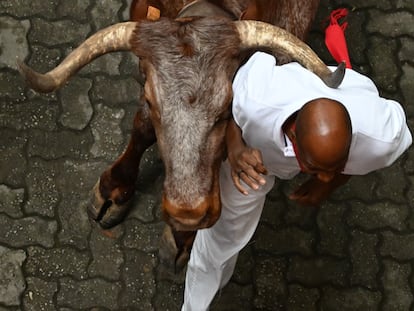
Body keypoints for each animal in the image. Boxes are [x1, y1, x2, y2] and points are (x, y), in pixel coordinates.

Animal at [18, 0, 342, 268]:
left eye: (227, 108)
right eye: (151, 101)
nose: (188, 212)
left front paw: (182, 237)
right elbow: (142, 127)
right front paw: (114, 188)